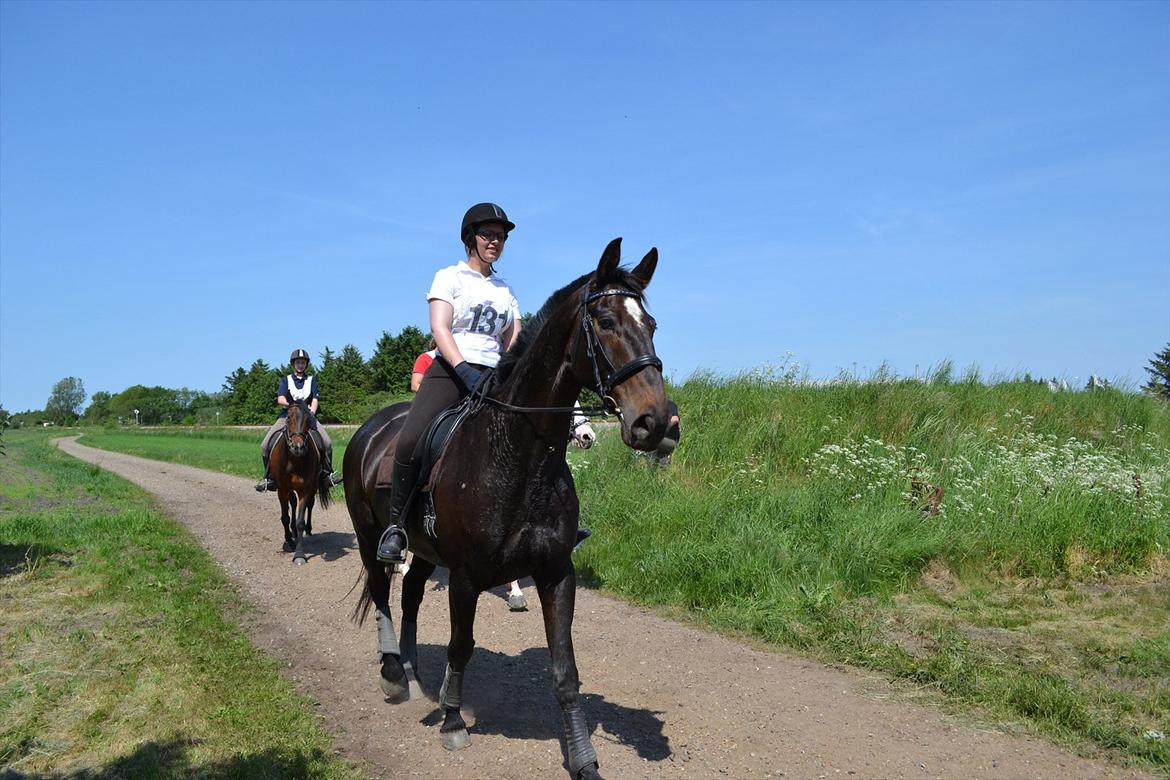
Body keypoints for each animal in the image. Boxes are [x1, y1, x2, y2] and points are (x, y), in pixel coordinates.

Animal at [271, 402, 332, 561]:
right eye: (288, 418)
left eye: (308, 420)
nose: (297, 447)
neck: (294, 460)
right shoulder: (282, 489)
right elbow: (285, 517)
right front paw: (290, 541)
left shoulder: (305, 489)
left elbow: (300, 521)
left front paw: (299, 554)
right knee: (292, 503)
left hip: (313, 486)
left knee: (309, 505)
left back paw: (308, 530)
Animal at [341, 239, 669, 780]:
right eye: (604, 321)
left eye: (652, 324)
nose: (658, 422)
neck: (519, 455)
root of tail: (370, 429)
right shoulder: (466, 577)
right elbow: (462, 646)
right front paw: (453, 721)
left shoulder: (556, 572)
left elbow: (565, 671)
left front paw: (583, 759)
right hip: (371, 536)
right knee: (383, 591)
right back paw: (392, 673)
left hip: (426, 551)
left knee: (411, 594)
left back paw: (411, 667)